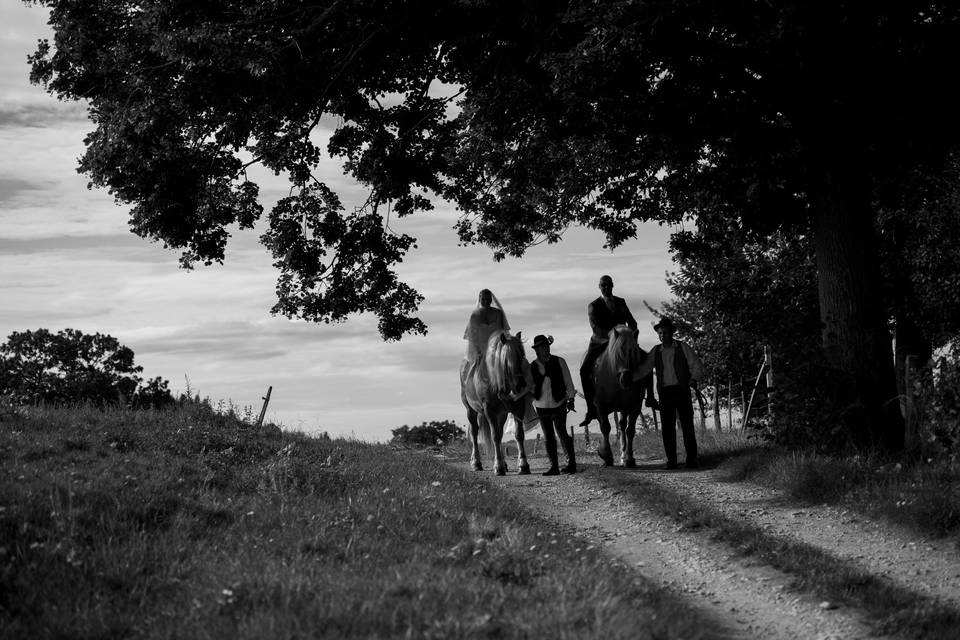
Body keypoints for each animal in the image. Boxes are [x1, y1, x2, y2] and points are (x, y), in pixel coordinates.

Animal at [460, 330, 532, 476]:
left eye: (522, 355)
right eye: (507, 359)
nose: (520, 386)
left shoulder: (517, 408)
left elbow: (518, 435)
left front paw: (523, 465)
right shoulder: (490, 410)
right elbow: (495, 437)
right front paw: (498, 467)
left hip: (501, 414)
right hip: (471, 410)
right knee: (474, 433)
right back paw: (476, 463)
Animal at [588, 324, 656, 464]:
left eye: (634, 353)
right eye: (618, 353)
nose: (626, 379)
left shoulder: (635, 406)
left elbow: (630, 430)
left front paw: (629, 458)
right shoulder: (600, 405)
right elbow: (605, 427)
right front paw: (606, 456)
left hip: (624, 408)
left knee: (622, 426)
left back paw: (623, 455)